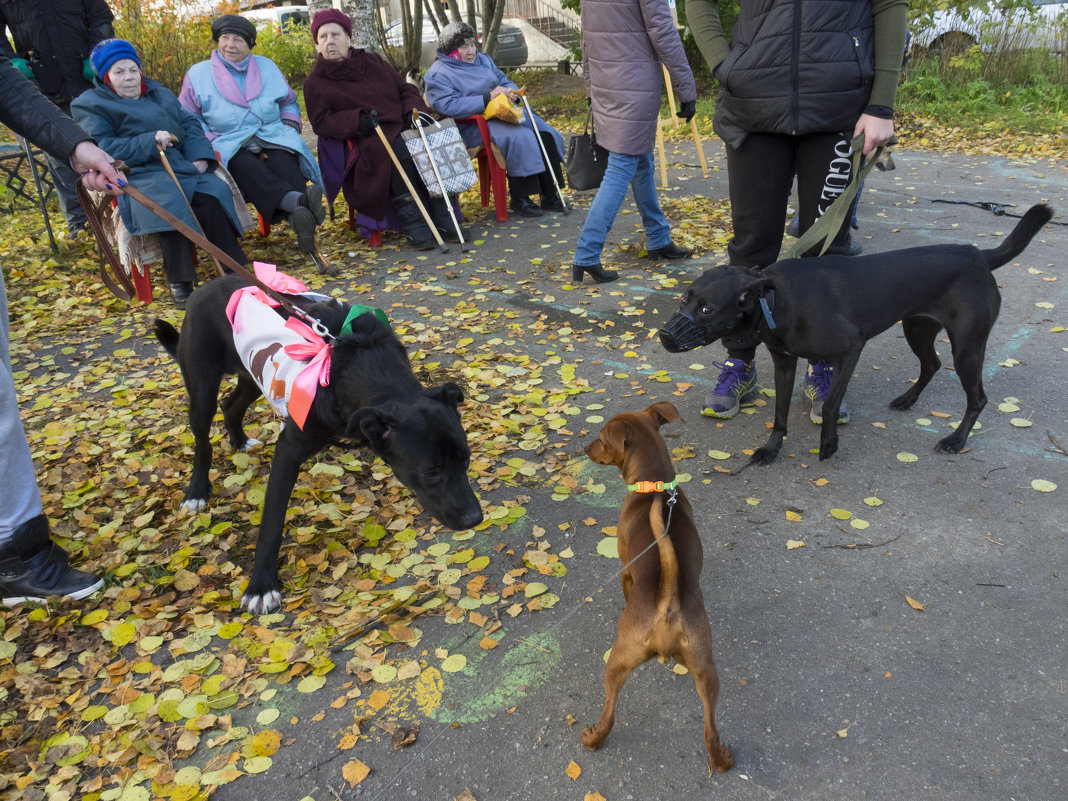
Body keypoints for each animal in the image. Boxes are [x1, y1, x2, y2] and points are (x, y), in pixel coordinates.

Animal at [585, 403, 734, 773]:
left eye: (601, 438)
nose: (584, 448)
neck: (655, 487)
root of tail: (668, 600)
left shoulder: (625, 569)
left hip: (617, 661)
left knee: (609, 715)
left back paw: (592, 739)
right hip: (706, 669)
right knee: (710, 731)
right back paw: (723, 760)